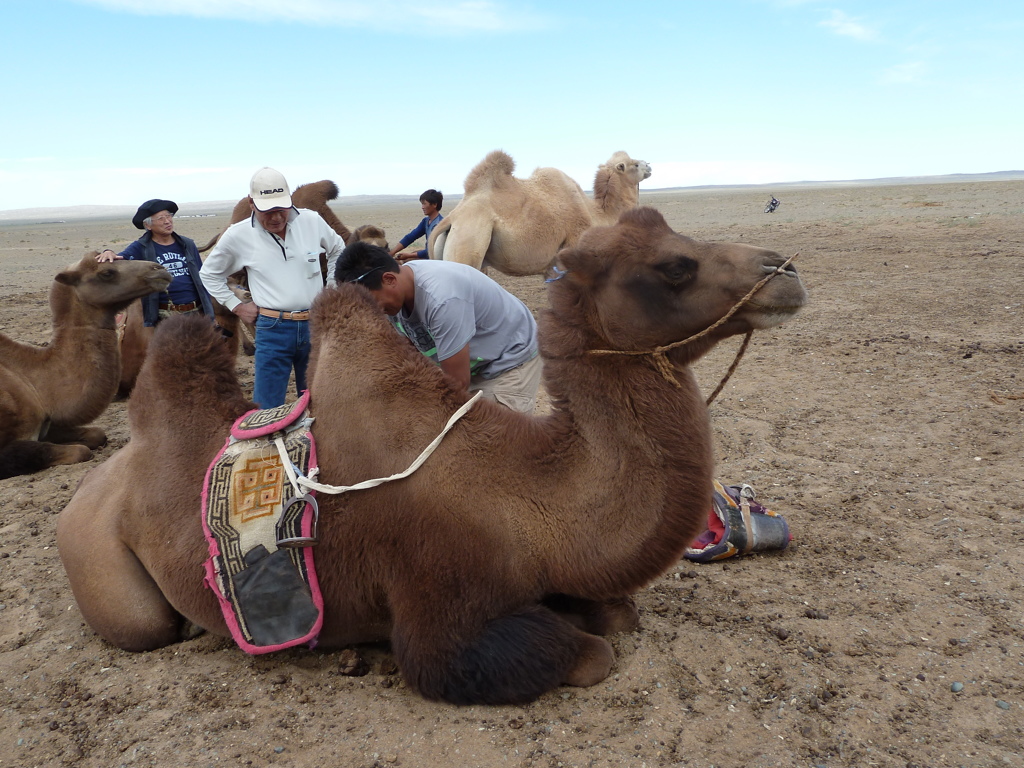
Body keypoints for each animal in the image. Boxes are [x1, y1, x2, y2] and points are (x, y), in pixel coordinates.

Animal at [58, 207, 806, 708]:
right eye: (675, 266)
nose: (786, 271)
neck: (527, 502)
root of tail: (87, 490)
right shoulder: (436, 617)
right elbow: (588, 654)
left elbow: (616, 614)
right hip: (107, 575)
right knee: (145, 625)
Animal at [428, 150, 651, 276]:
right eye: (634, 164)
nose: (649, 165)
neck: (598, 213)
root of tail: (452, 218)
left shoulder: (553, 265)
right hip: (468, 243)